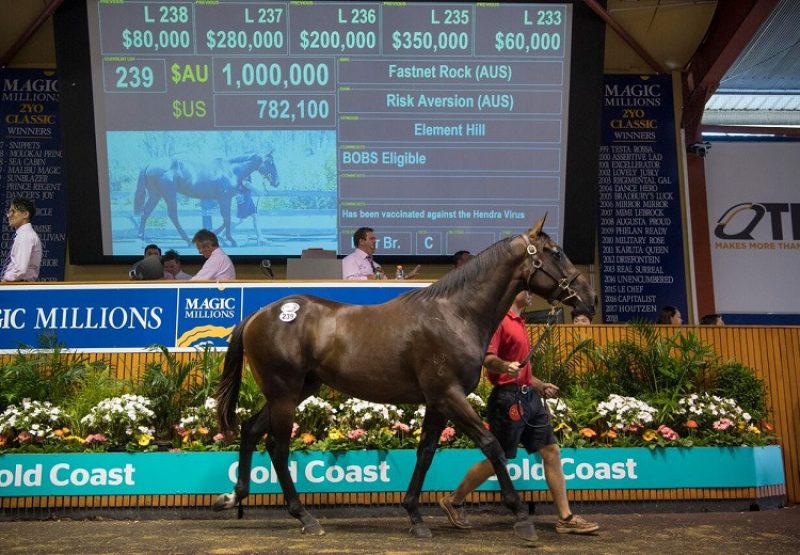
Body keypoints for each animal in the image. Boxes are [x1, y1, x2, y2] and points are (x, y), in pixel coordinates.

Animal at [134, 153, 278, 247]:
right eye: (270, 163)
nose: (277, 182)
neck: (231, 170)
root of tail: (149, 165)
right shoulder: (224, 198)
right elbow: (227, 218)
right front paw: (231, 240)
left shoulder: (222, 199)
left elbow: (227, 220)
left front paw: (219, 237)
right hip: (168, 194)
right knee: (172, 215)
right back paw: (187, 240)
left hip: (155, 194)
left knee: (145, 213)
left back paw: (142, 239)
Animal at [212, 217, 592, 544]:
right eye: (555, 252)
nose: (589, 299)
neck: (455, 314)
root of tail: (261, 313)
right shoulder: (450, 396)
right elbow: (491, 445)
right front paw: (522, 518)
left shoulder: (437, 402)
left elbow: (425, 453)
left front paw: (415, 516)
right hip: (284, 392)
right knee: (277, 447)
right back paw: (304, 516)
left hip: (297, 390)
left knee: (250, 430)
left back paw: (233, 497)